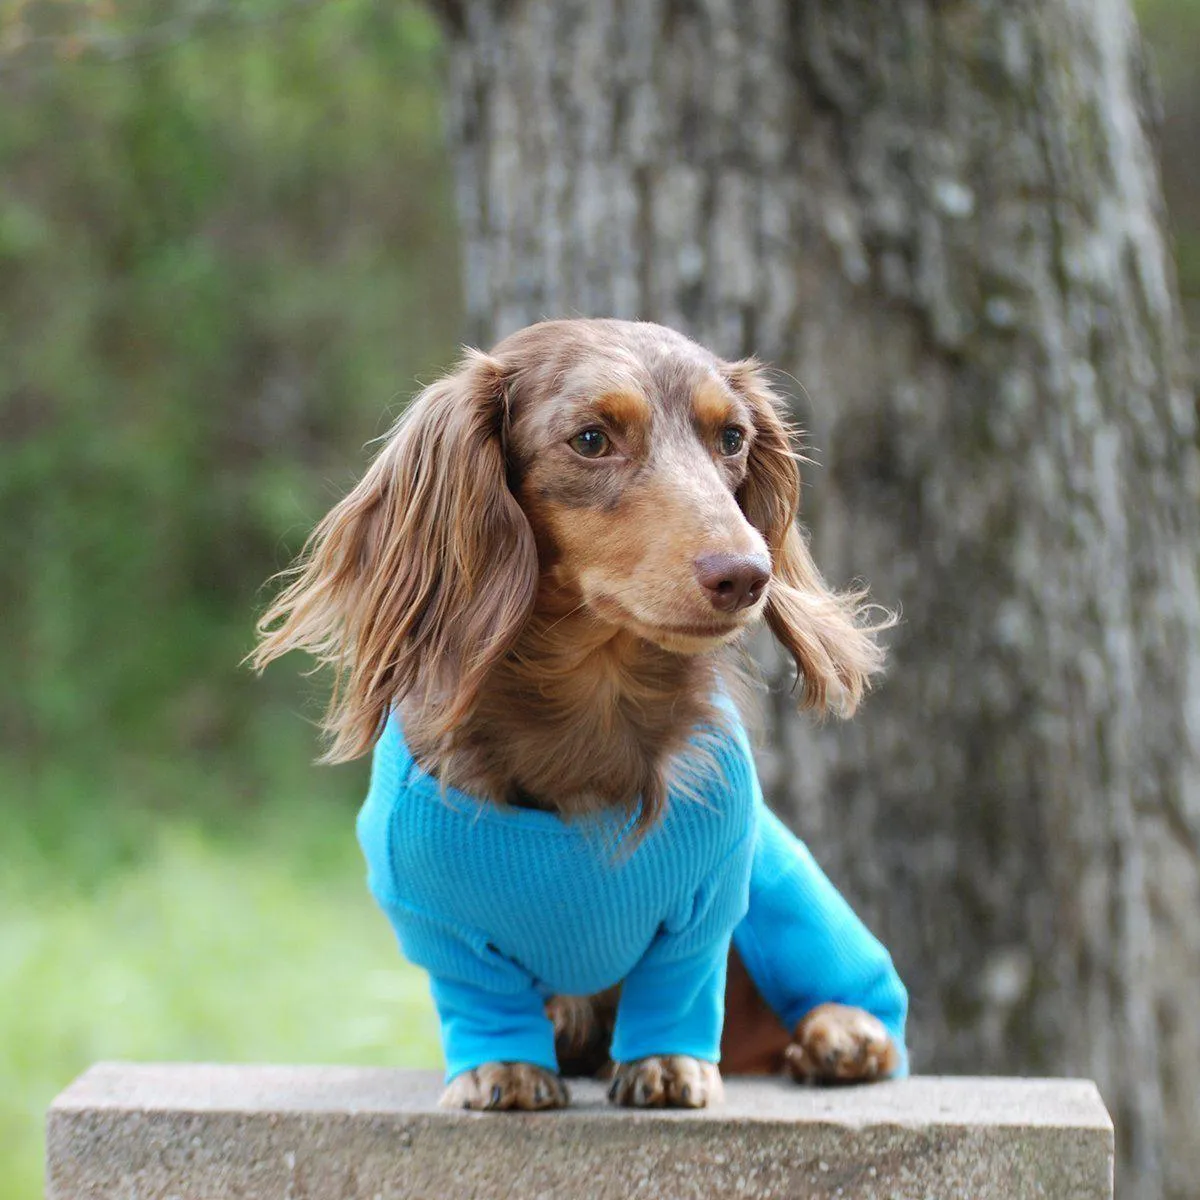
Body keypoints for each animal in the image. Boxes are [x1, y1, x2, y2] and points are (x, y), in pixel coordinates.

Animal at [258, 316, 902, 1104]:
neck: (591, 703)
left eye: (732, 438)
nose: (748, 576)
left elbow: (680, 985)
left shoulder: (709, 897)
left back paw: (843, 1031)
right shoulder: (437, 921)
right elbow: (480, 999)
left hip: (787, 894)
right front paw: (502, 1069)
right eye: (592, 439)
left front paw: (668, 1063)